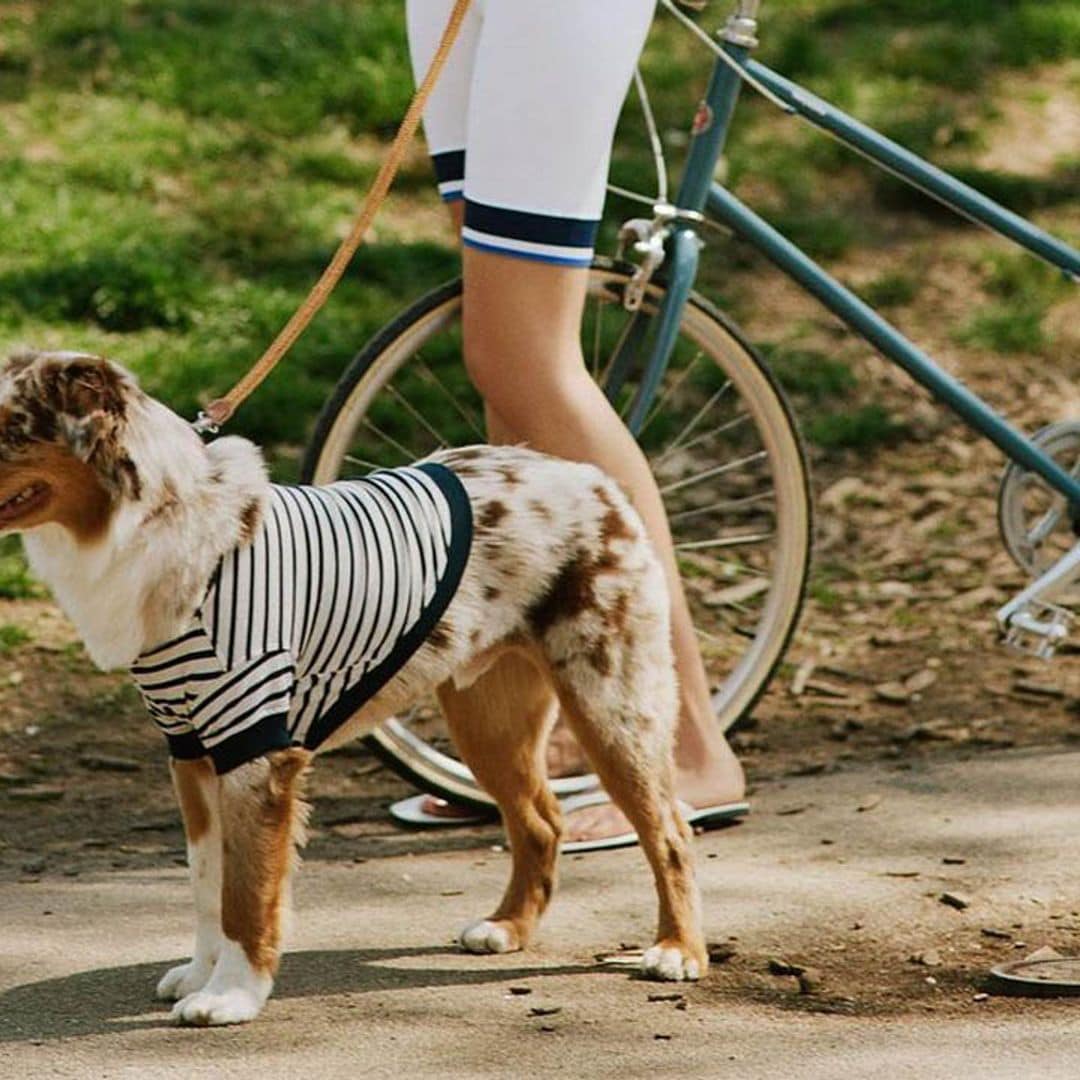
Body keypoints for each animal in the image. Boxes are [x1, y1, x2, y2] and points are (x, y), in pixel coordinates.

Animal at [0, 349, 708, 1023]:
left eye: (9, 429)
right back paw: (507, 927)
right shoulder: (191, 753)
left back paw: (678, 950)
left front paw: (232, 996)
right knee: (540, 821)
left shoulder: (255, 750)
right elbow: (206, 884)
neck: (162, 521)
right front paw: (202, 973)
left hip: (611, 705)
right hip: (487, 720)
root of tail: (590, 477)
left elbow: (245, 892)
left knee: (670, 830)